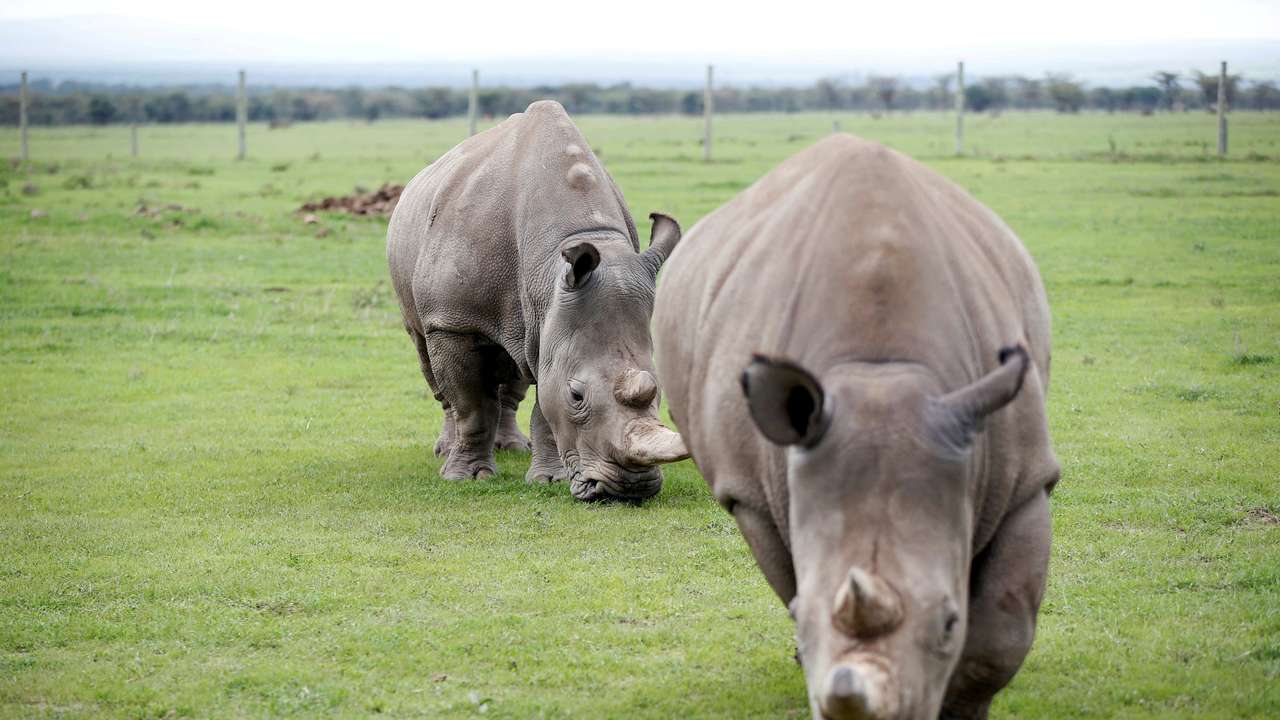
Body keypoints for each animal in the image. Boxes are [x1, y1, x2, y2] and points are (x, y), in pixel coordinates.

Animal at [387, 100, 689, 501]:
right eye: (577, 396)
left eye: (658, 387)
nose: (630, 489)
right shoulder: (454, 320)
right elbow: (472, 405)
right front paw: (467, 478)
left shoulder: (554, 317)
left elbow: (545, 403)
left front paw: (549, 480)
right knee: (428, 355)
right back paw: (446, 451)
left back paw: (513, 449)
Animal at [653, 135, 1059, 719]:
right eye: (801, 621)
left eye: (948, 622)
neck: (881, 374)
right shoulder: (752, 492)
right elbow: (793, 579)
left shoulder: (1027, 477)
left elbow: (999, 638)